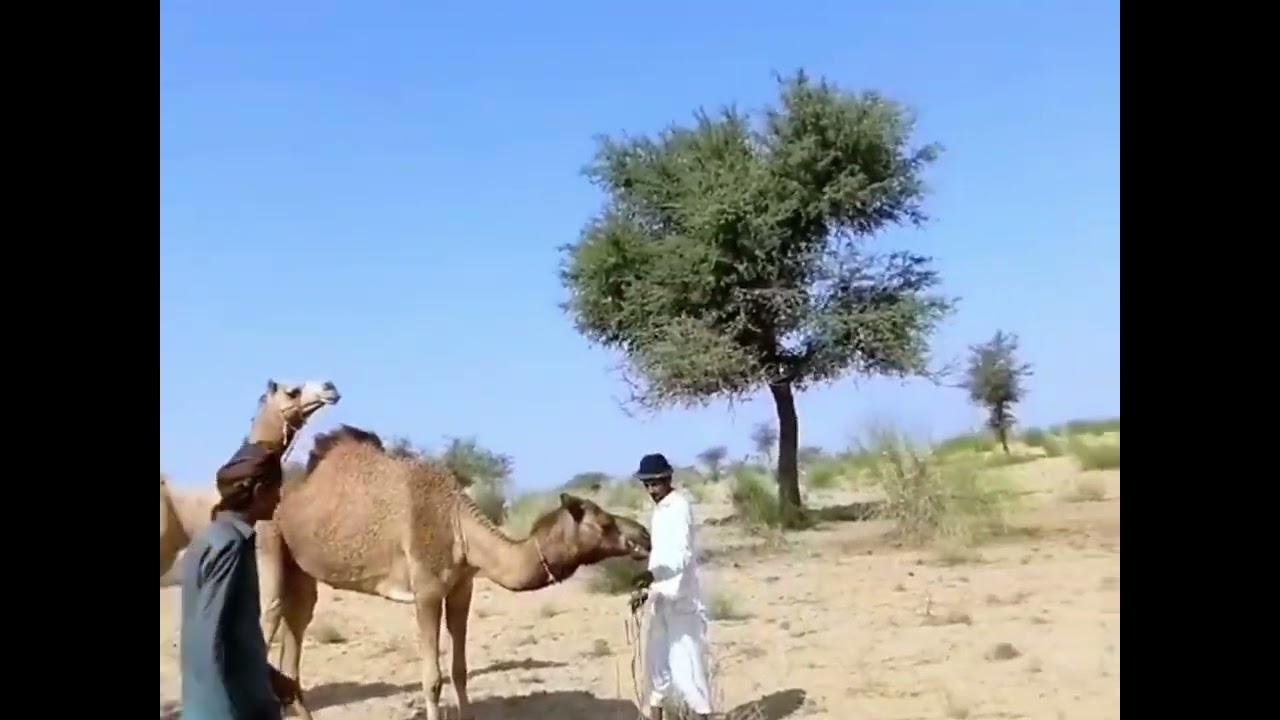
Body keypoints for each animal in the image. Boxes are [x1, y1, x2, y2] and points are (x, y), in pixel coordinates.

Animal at [256, 424, 653, 720]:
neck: (459, 526)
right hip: (269, 541)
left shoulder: (462, 588)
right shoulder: (427, 592)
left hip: (302, 569)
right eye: (603, 523)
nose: (644, 536)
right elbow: (432, 678)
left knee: (297, 626)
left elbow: (460, 670)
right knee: (270, 615)